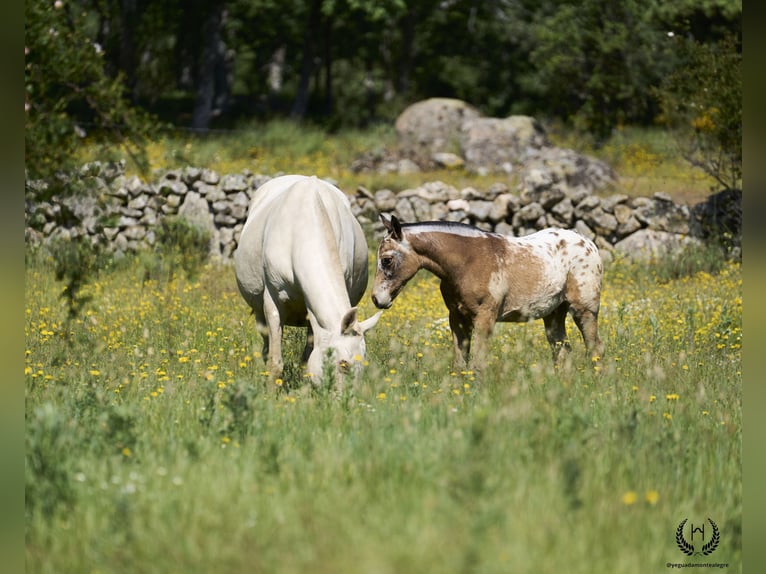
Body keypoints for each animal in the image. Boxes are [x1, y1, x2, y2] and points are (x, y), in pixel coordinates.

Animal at [232, 176, 380, 388]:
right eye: (343, 364)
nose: (346, 398)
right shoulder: (273, 304)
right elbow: (275, 361)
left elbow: (307, 359)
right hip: (260, 312)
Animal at [372, 214, 608, 372]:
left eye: (387, 260)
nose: (376, 299)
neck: (468, 262)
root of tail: (589, 243)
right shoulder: (457, 318)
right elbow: (460, 363)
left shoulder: (485, 317)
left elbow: (477, 364)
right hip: (554, 314)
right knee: (562, 351)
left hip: (584, 310)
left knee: (595, 348)